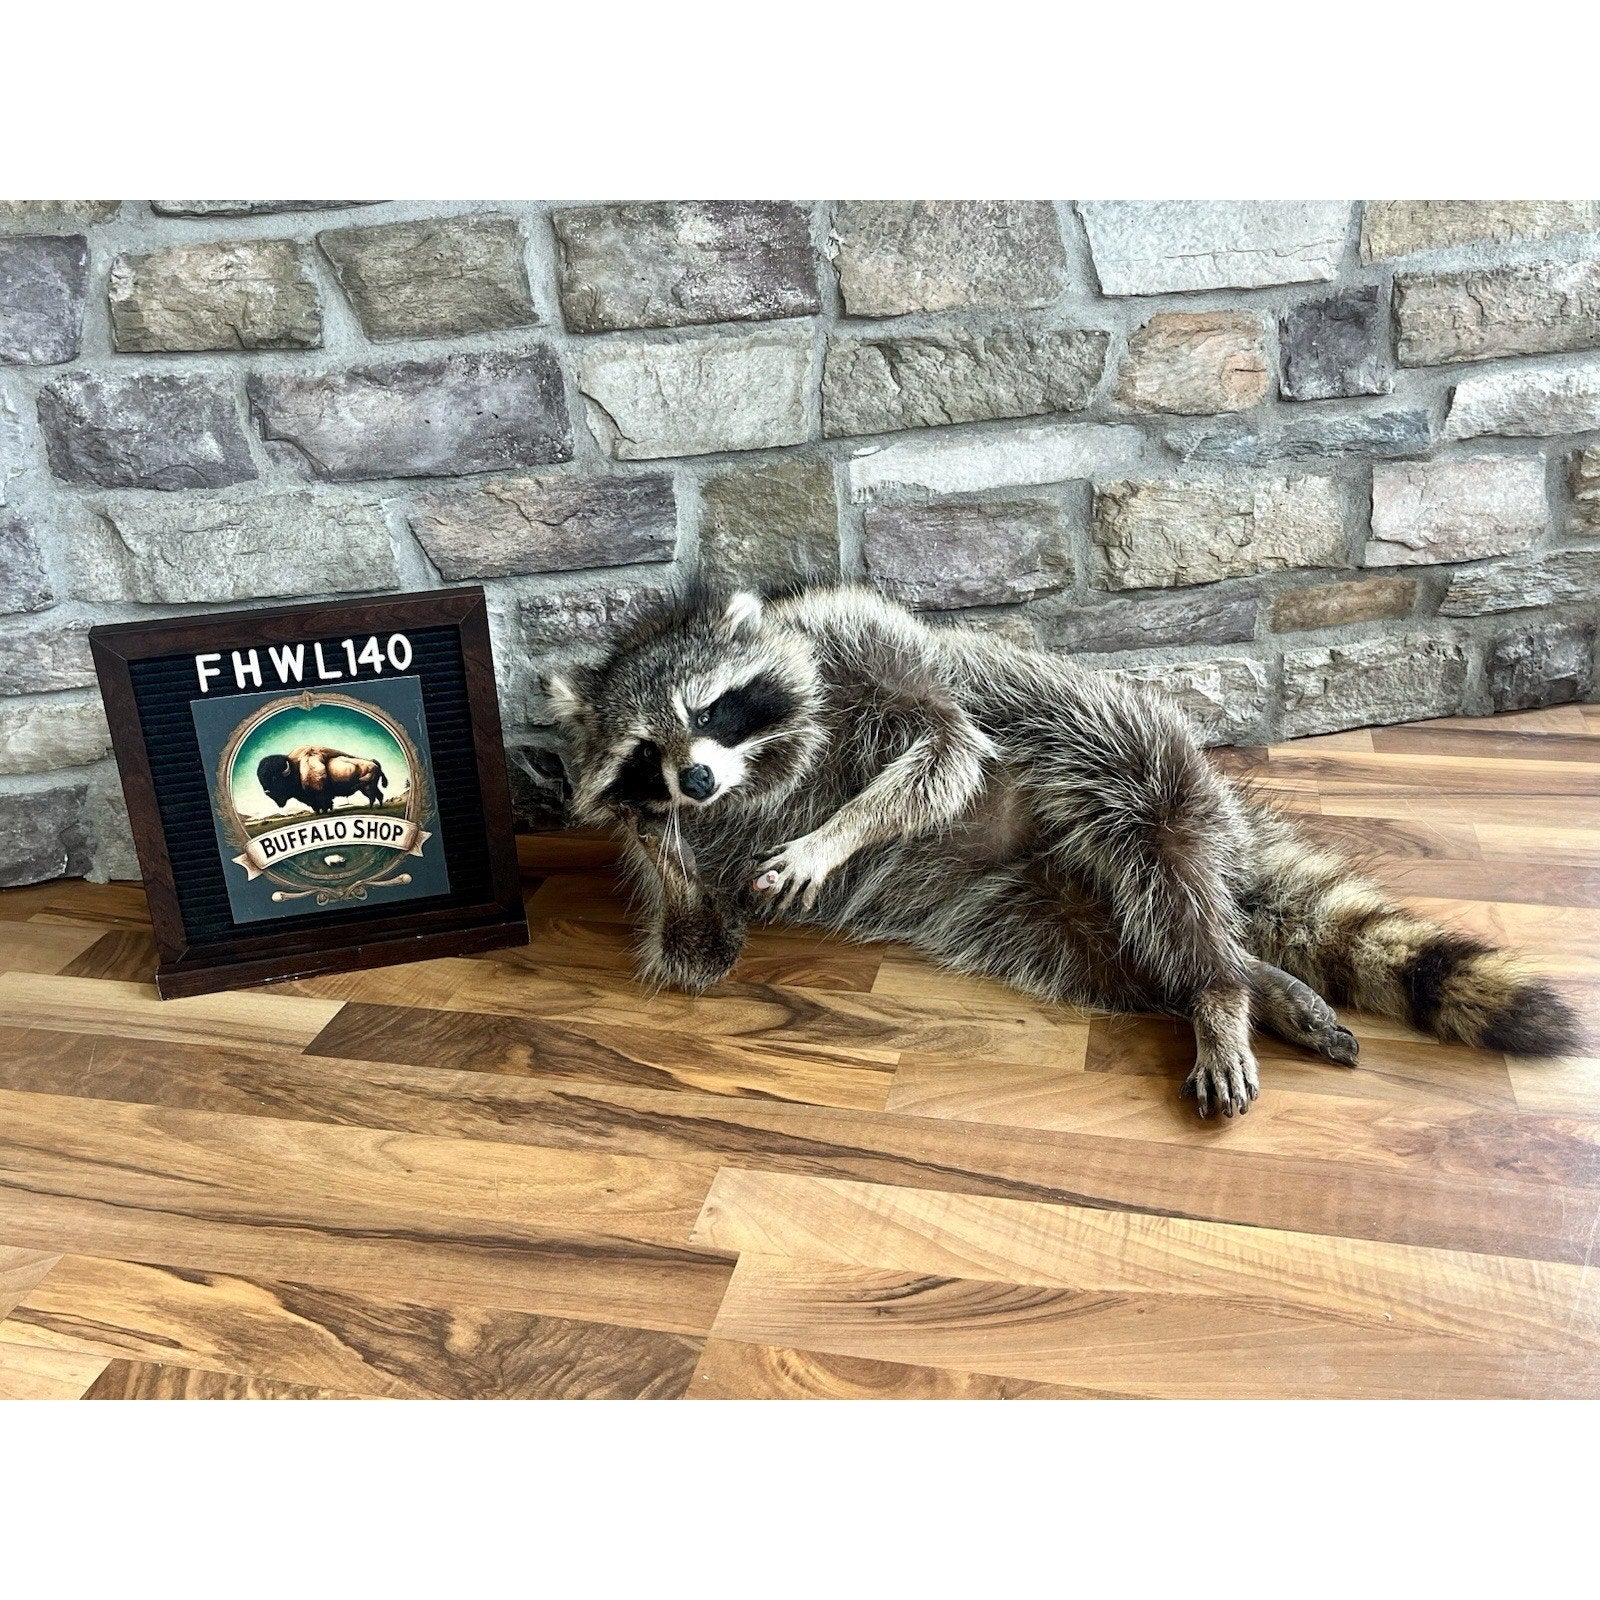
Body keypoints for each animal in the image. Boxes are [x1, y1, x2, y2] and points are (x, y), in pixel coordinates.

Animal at [547, 583, 1582, 1117]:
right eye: (643, 752)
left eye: (709, 710)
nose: (693, 784)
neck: (766, 775)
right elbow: (699, 947)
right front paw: (661, 843)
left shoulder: (863, 649)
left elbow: (949, 749)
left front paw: (836, 834)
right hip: (1026, 906)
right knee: (1129, 953)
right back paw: (1247, 981)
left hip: (1129, 750)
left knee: (1158, 851)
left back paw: (1221, 992)